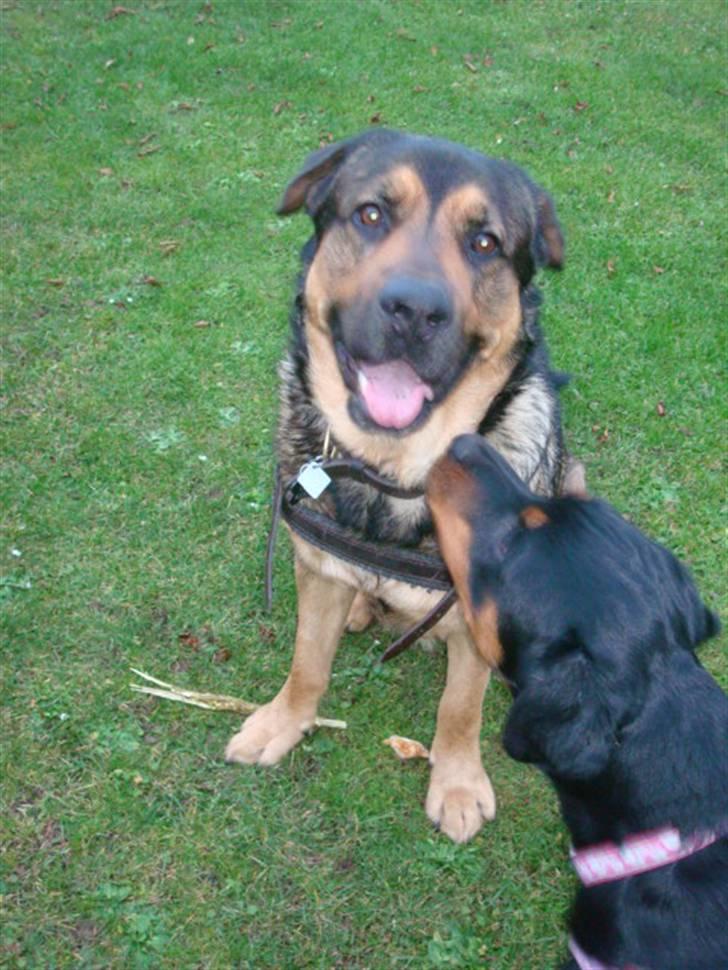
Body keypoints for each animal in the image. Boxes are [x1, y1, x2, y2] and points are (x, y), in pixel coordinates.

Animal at [226, 129, 568, 840]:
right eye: (371, 214)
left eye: (485, 242)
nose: (415, 309)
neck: (395, 471)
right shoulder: (318, 572)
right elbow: (306, 663)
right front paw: (282, 723)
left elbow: (460, 708)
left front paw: (457, 783)